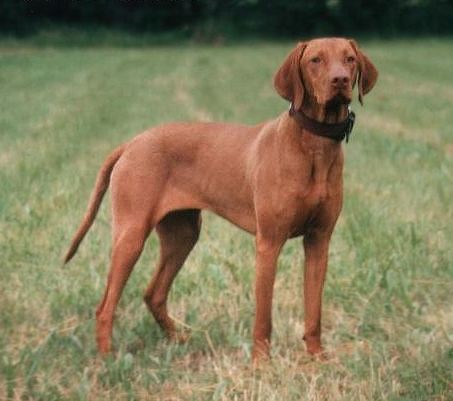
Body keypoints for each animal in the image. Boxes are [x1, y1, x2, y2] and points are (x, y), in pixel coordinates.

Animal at [65, 38, 378, 360]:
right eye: (315, 60)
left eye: (350, 59)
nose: (340, 80)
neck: (314, 146)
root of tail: (131, 143)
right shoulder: (269, 243)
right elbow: (263, 318)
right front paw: (261, 364)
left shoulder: (319, 241)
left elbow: (314, 311)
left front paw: (317, 358)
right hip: (132, 235)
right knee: (105, 306)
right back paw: (107, 359)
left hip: (183, 234)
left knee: (154, 293)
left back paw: (179, 340)